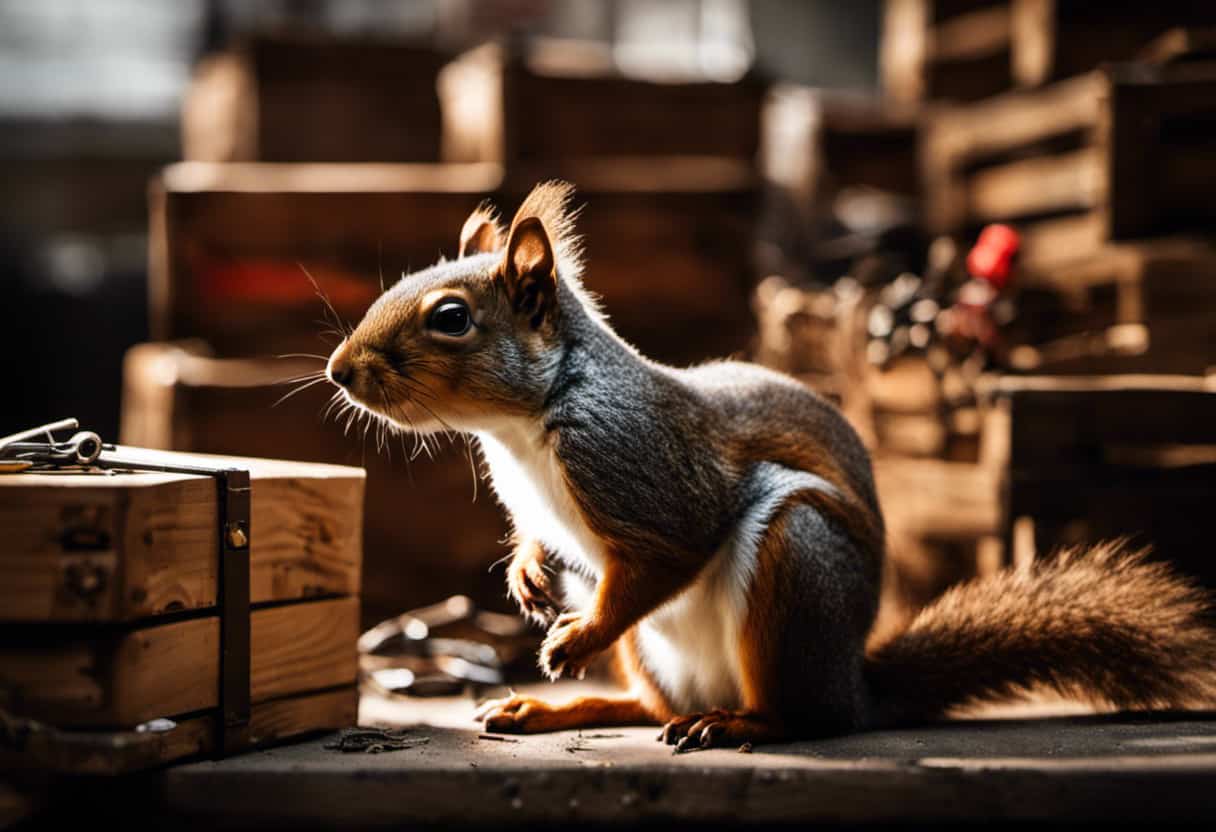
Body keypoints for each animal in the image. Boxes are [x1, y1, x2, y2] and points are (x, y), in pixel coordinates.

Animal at [325, 184, 1216, 749]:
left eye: (450, 318)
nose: (339, 371)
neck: (521, 427)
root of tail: (857, 689)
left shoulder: (639, 469)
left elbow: (667, 555)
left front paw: (578, 635)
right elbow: (545, 544)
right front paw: (527, 575)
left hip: (796, 560)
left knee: (801, 718)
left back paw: (735, 724)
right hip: (662, 658)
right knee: (645, 708)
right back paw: (561, 708)